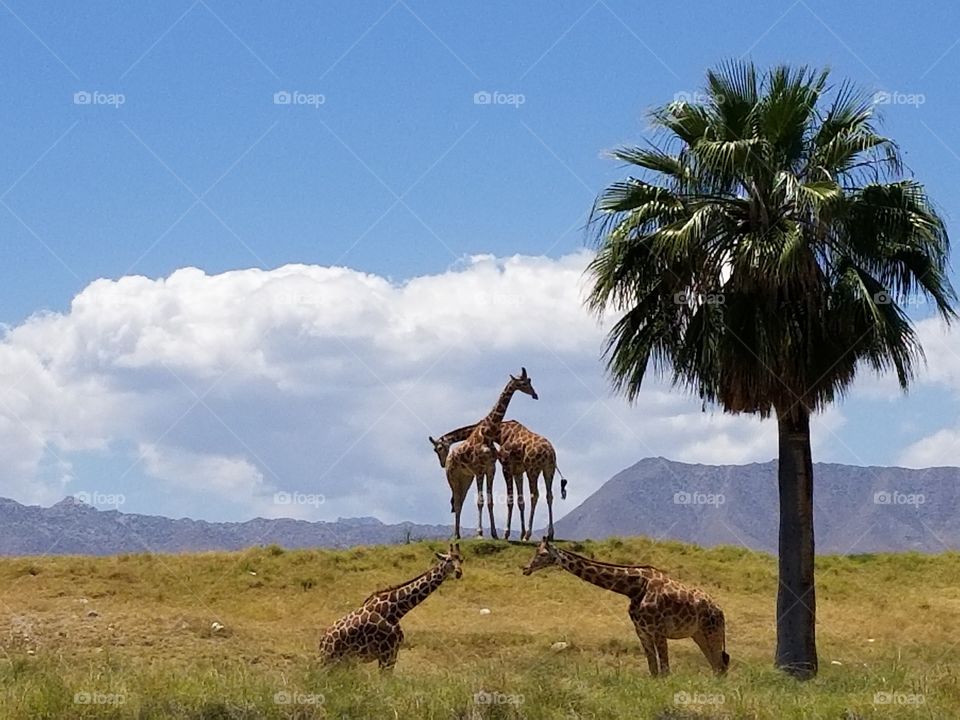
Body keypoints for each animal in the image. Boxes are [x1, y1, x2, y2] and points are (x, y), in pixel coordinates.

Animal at [318, 543, 463, 671]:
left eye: (461, 559)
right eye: (449, 560)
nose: (459, 573)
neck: (395, 610)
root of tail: (322, 642)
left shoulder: (392, 652)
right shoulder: (386, 652)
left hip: (344, 662)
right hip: (330, 661)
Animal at [428, 368, 537, 540]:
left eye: (529, 381)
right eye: (523, 383)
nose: (535, 394)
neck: (488, 433)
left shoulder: (491, 469)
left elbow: (490, 501)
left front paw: (494, 534)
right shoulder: (479, 469)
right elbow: (480, 501)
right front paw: (480, 533)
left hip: (466, 479)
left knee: (460, 502)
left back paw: (458, 534)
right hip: (453, 478)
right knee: (457, 502)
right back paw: (456, 535)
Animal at [429, 420, 568, 542]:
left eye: (439, 448)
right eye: (435, 450)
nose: (443, 463)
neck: (500, 433)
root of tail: (550, 452)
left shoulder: (506, 467)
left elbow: (509, 500)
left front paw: (507, 534)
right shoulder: (518, 471)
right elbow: (520, 501)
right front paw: (520, 533)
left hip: (533, 469)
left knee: (535, 495)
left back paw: (528, 535)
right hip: (549, 470)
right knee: (549, 496)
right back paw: (550, 534)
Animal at [522, 539, 729, 676]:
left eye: (542, 554)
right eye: (535, 552)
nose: (526, 568)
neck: (634, 588)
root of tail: (720, 610)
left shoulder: (659, 631)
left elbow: (665, 671)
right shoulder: (642, 631)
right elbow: (654, 671)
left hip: (712, 631)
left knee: (720, 665)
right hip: (698, 634)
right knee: (717, 665)